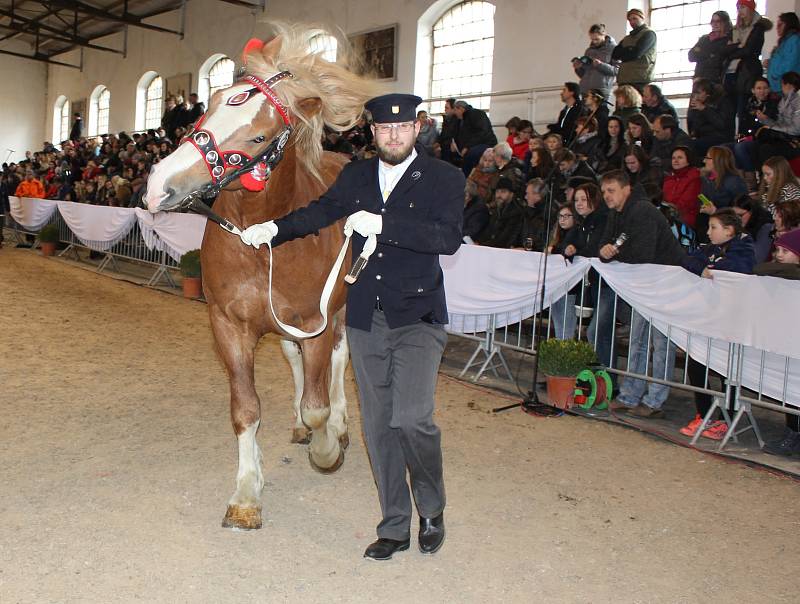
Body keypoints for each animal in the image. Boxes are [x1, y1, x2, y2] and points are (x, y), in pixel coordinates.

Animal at [145, 26, 382, 532]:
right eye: (210, 104)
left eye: (258, 135)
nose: (158, 185)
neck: (263, 236)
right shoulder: (229, 326)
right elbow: (246, 410)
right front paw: (247, 493)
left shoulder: (316, 323)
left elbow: (317, 405)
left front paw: (326, 449)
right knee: (295, 363)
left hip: (338, 313)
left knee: (337, 364)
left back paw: (339, 429)